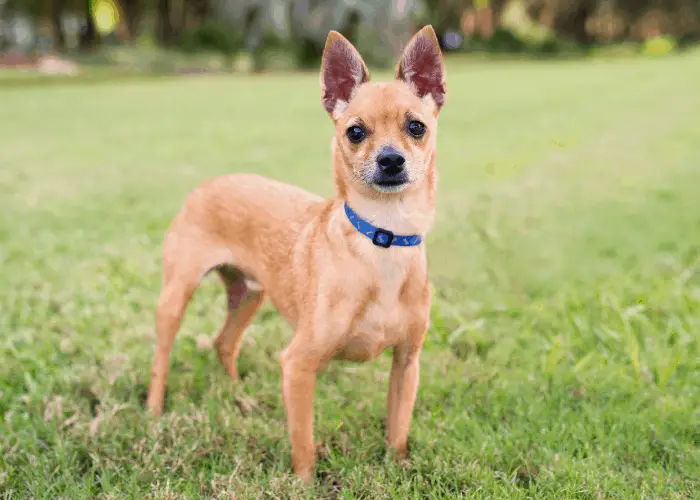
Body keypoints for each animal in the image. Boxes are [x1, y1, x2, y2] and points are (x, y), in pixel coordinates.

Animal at [146, 25, 448, 482]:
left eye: (416, 127)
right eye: (355, 132)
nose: (391, 160)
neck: (382, 238)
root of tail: (209, 183)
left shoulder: (406, 364)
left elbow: (398, 429)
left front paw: (396, 470)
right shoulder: (298, 365)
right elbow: (303, 444)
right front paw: (304, 483)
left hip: (249, 295)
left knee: (224, 342)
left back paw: (240, 395)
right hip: (177, 294)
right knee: (163, 354)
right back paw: (154, 410)